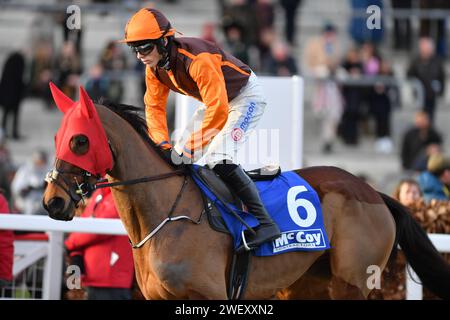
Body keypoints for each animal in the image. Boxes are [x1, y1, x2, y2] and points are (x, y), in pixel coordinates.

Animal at [43, 85, 450, 300]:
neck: (164, 217)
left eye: (80, 141)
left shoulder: (212, 295)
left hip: (351, 283)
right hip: (305, 284)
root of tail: (376, 194)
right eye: (57, 136)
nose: (53, 201)